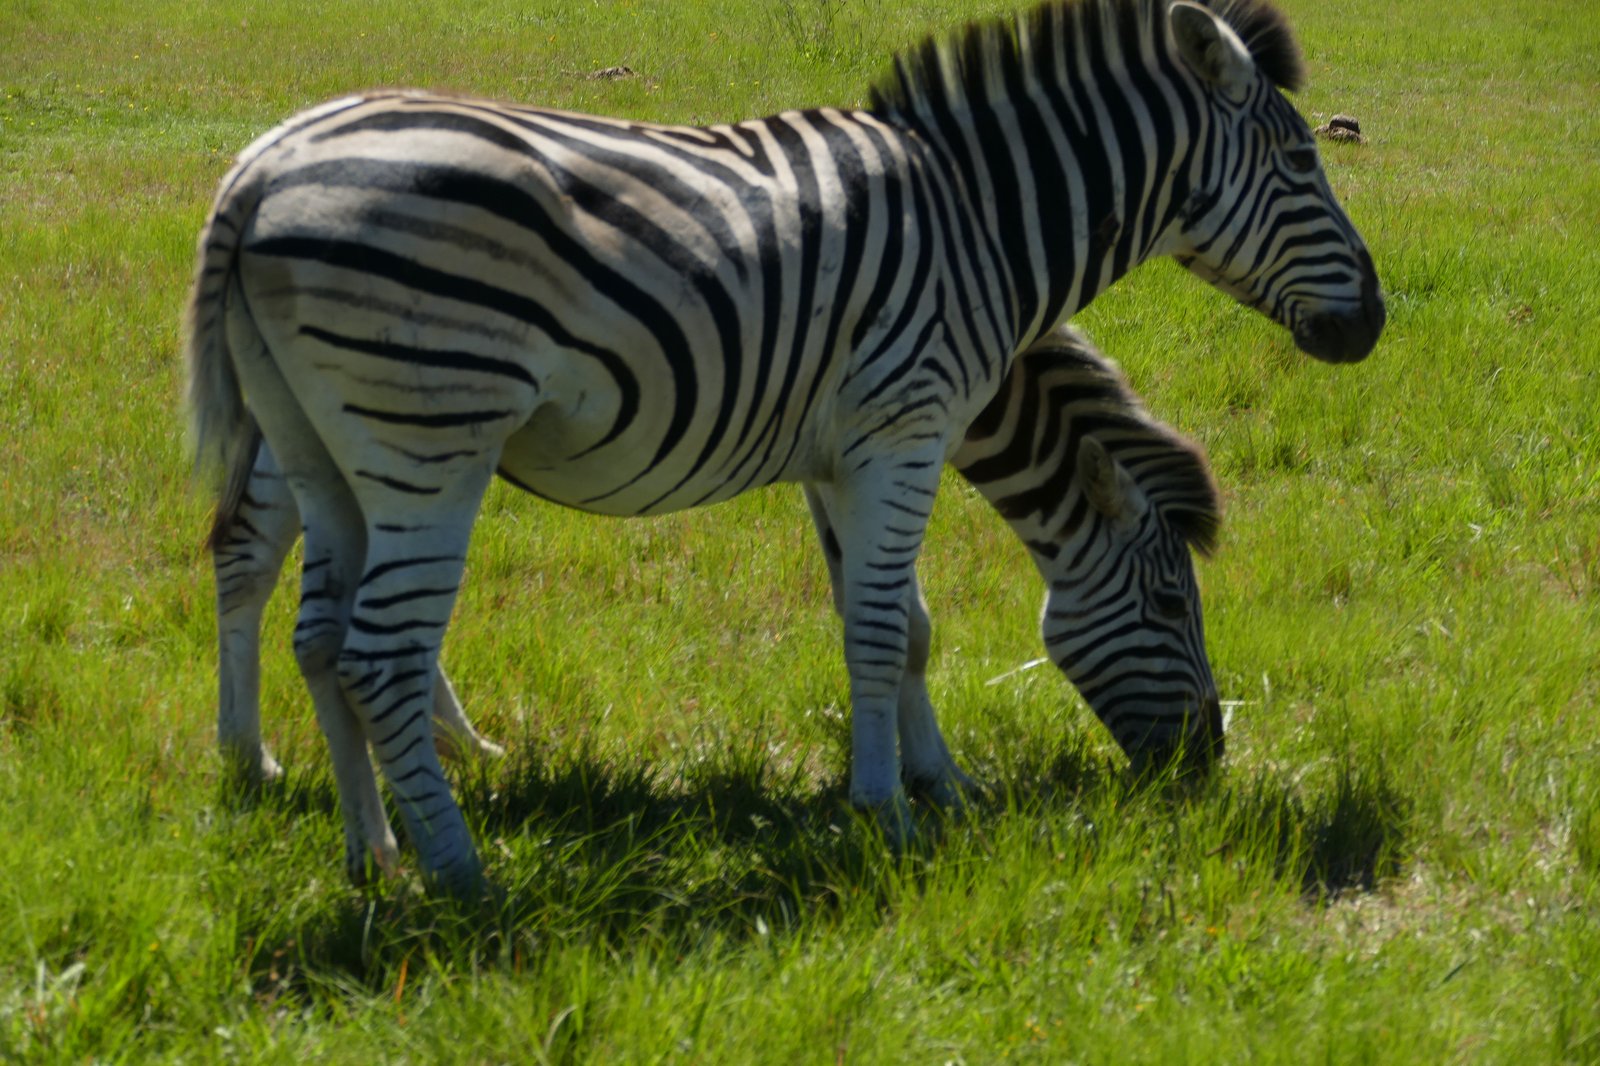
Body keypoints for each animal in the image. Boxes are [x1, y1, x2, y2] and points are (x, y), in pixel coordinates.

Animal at [209, 324, 1220, 810]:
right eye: (1172, 605)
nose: (1210, 758)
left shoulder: (840, 467)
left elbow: (891, 618)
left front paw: (928, 775)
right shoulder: (867, 460)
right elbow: (902, 625)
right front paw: (934, 782)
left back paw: (461, 744)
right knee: (245, 551)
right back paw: (247, 759)